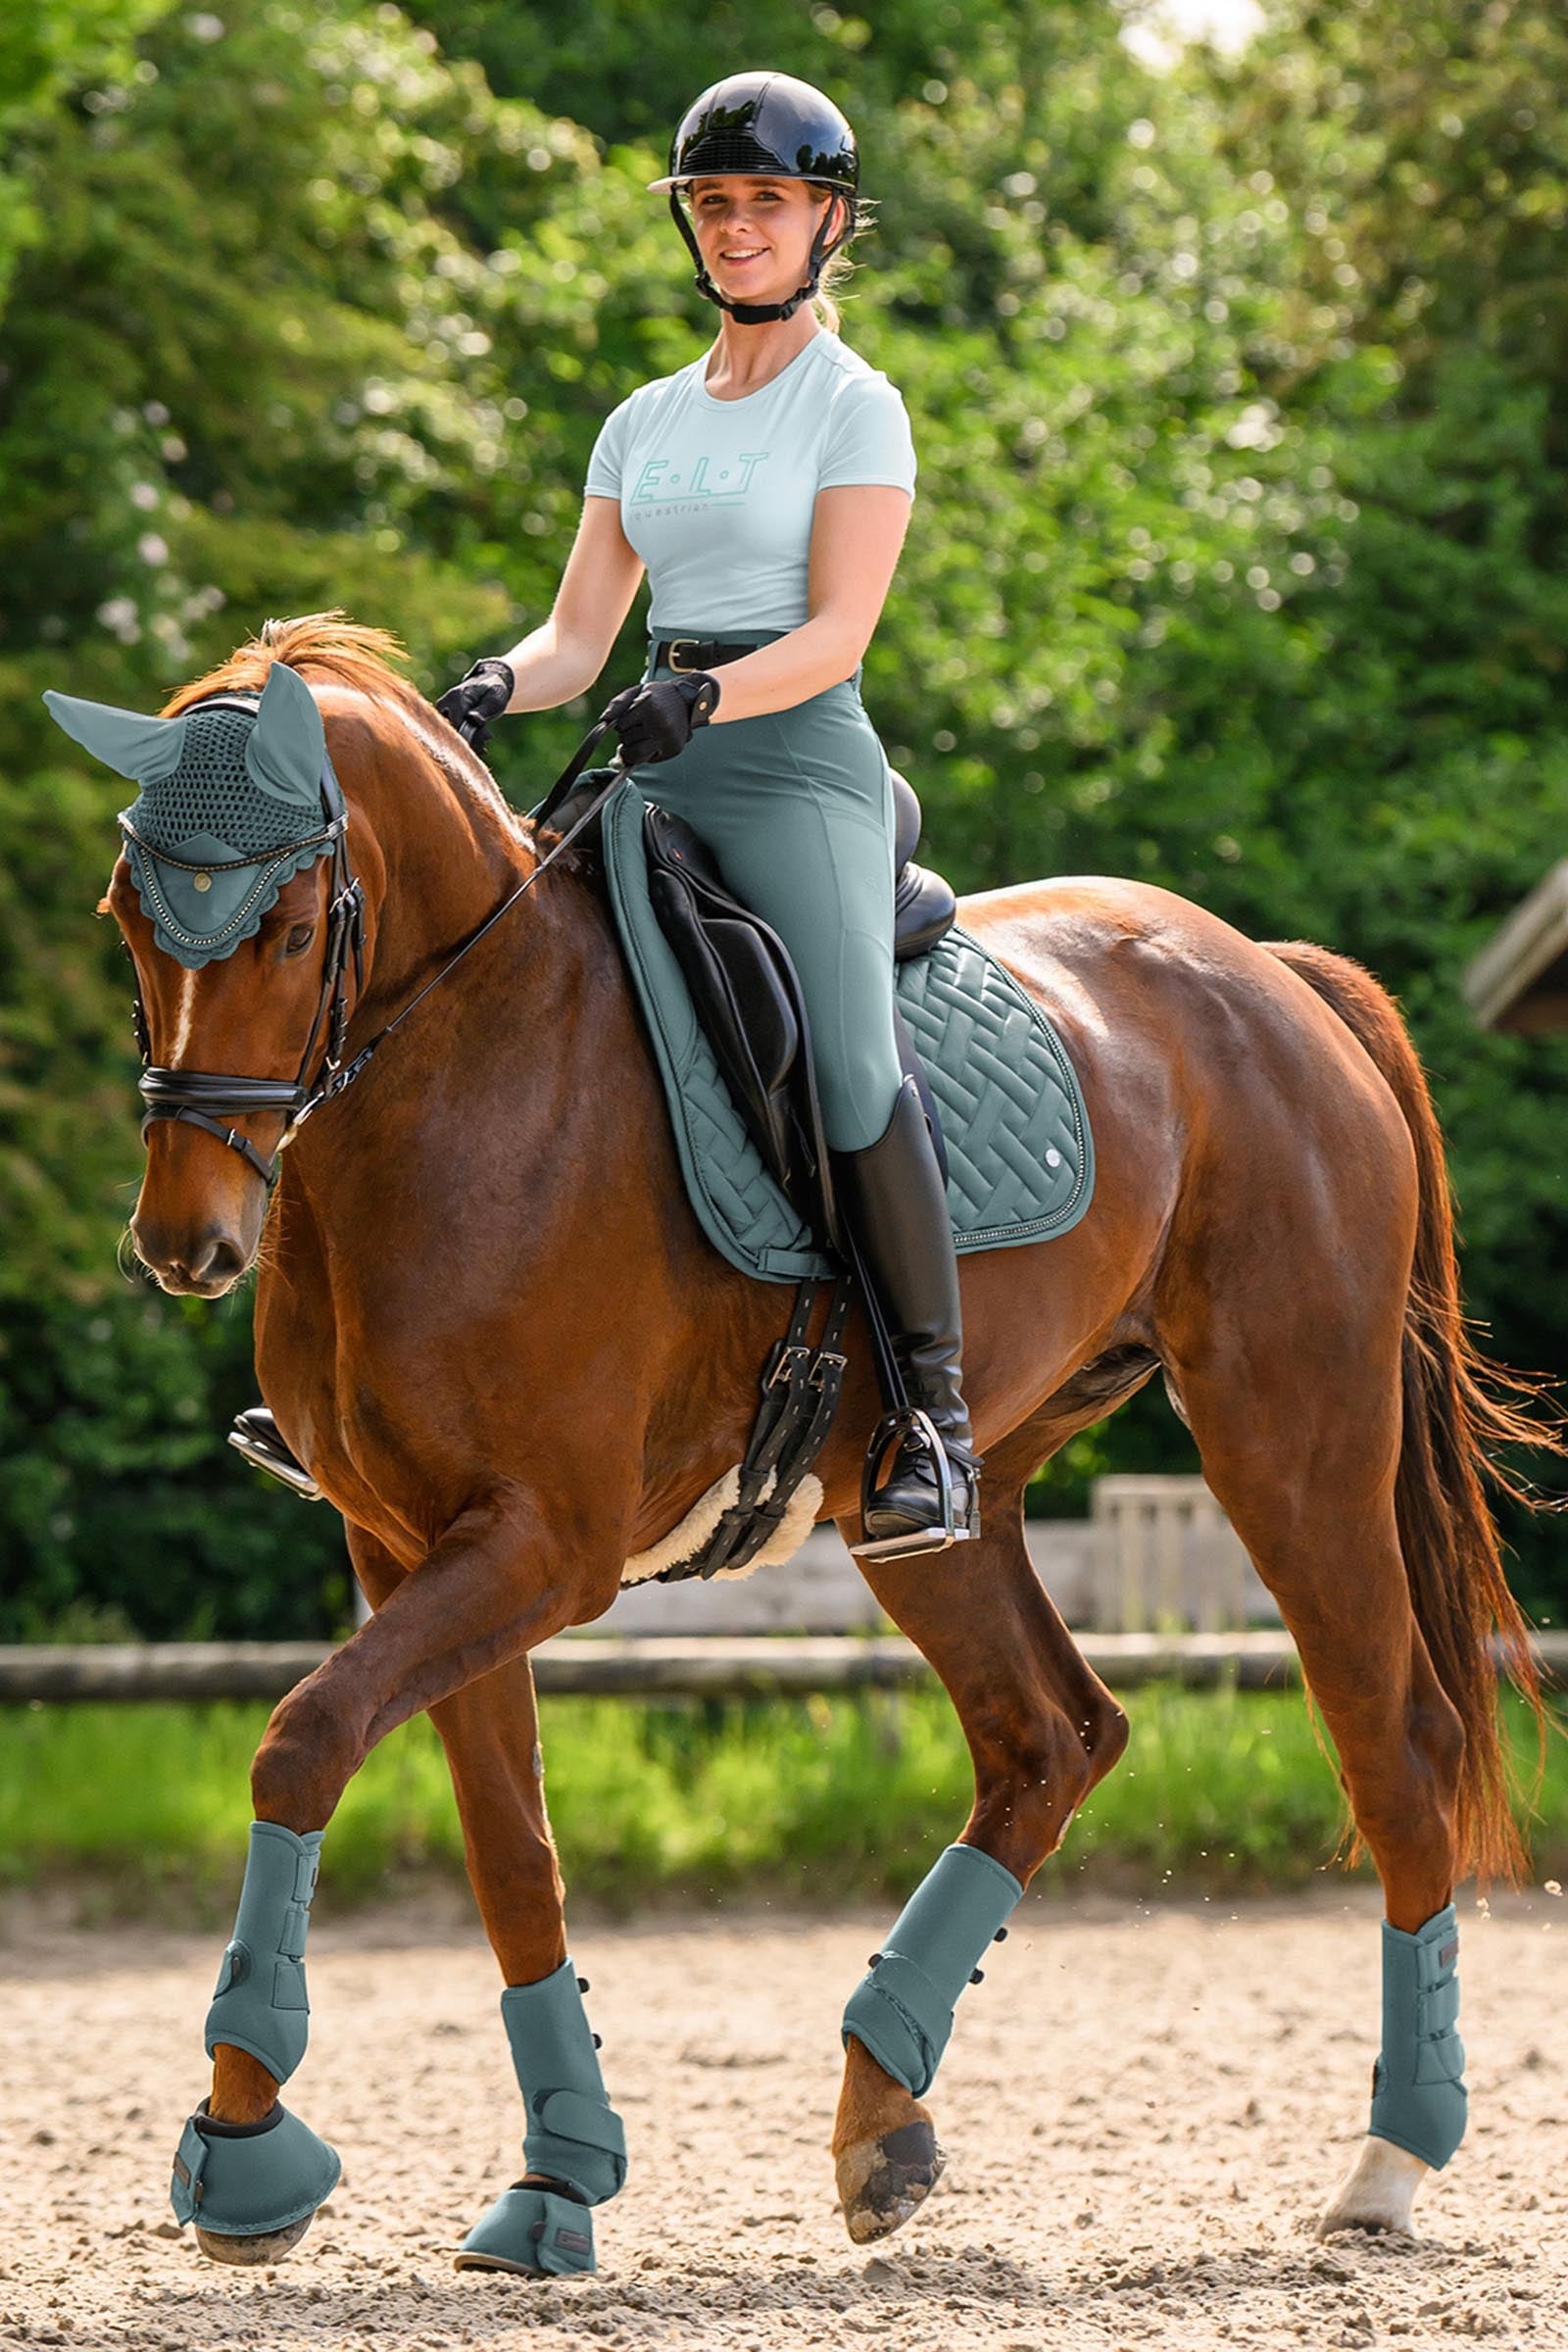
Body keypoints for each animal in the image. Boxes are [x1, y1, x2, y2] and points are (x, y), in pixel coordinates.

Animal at [88, 610, 1558, 2269]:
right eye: (129, 919)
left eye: (283, 930)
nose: (187, 1246)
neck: (464, 1073)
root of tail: (1274, 977)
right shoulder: (406, 1547)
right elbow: (508, 1848)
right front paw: (558, 2176)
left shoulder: (542, 1545)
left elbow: (303, 1741)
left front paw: (242, 2151)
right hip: (926, 1506)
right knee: (1051, 1737)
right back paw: (883, 2121)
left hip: (1290, 1440)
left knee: (1396, 1744)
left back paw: (1388, 2161)